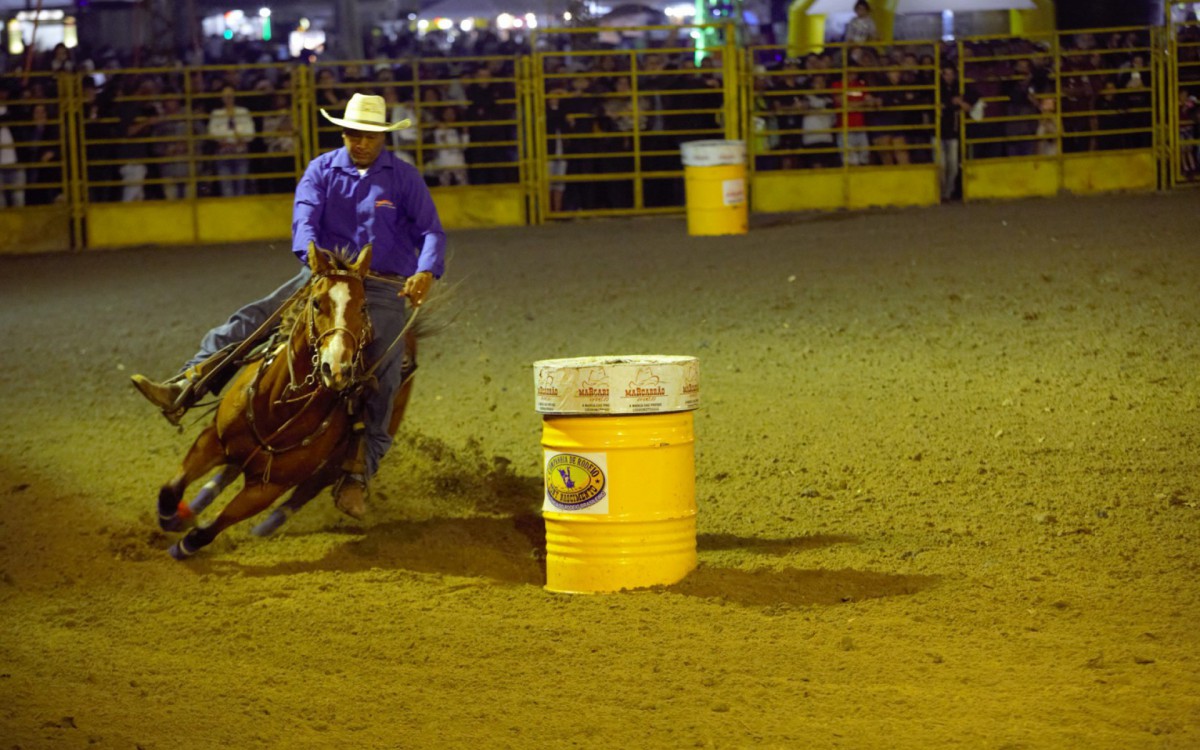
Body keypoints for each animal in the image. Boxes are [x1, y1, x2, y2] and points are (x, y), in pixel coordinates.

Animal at [154, 242, 396, 559]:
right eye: (316, 302)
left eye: (363, 306)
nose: (336, 368)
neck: (278, 407)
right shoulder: (212, 439)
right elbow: (171, 489)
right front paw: (170, 518)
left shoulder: (268, 488)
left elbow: (207, 531)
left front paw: (181, 547)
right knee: (227, 473)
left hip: (330, 468)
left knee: (303, 493)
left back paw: (268, 526)